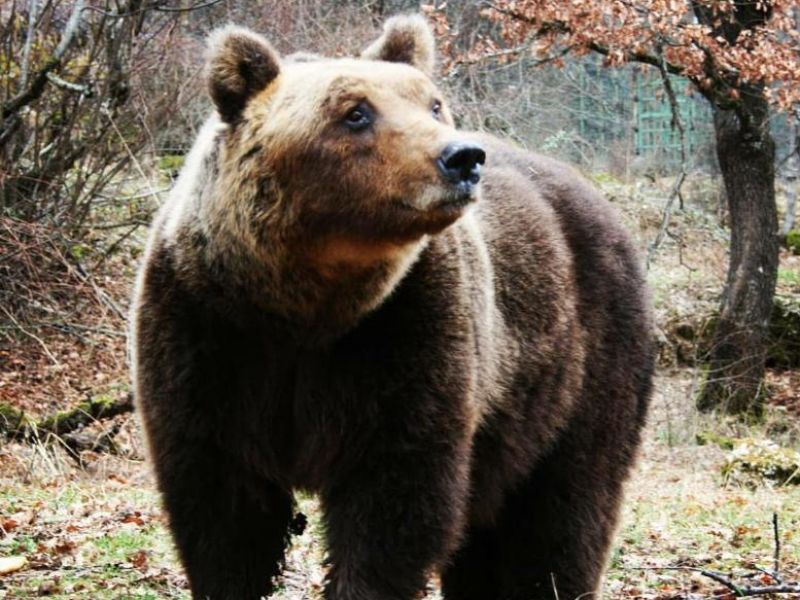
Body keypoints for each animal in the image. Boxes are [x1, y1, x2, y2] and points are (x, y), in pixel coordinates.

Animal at [130, 14, 654, 600]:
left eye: (433, 103)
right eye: (356, 112)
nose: (463, 157)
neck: (301, 305)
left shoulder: (403, 331)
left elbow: (393, 502)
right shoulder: (209, 333)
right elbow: (221, 510)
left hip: (584, 363)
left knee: (564, 511)